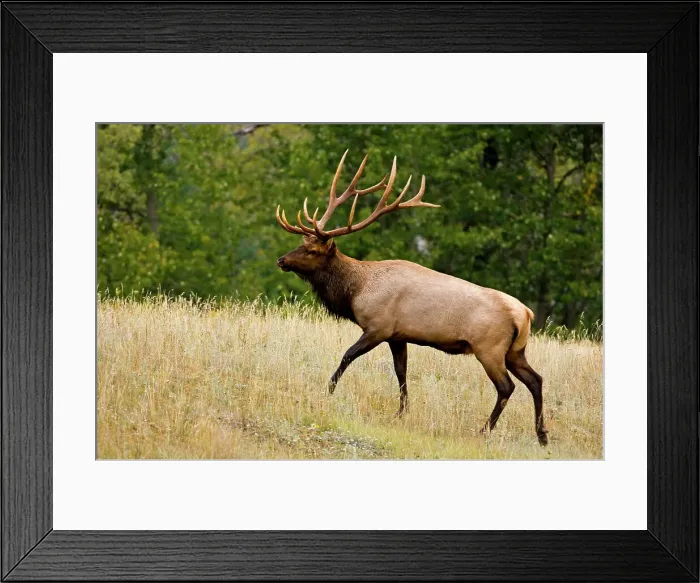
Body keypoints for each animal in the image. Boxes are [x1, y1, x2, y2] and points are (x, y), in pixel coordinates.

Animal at [275, 150, 548, 446]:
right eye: (302, 244)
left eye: (312, 250)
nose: (282, 260)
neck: (356, 290)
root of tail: (525, 315)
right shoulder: (398, 335)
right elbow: (401, 372)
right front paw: (401, 412)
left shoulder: (378, 327)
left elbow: (347, 356)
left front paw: (328, 391)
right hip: (515, 350)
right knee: (536, 380)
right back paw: (542, 435)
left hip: (489, 348)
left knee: (506, 386)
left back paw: (484, 430)